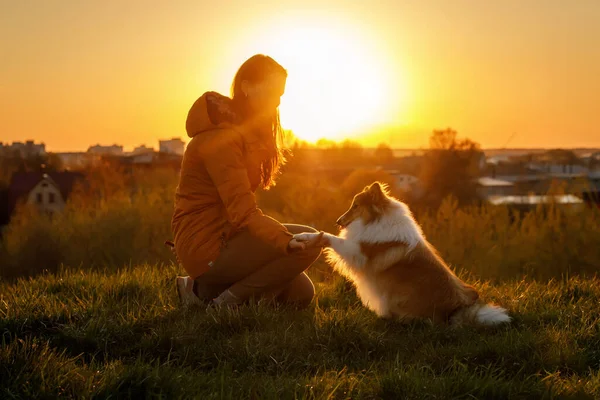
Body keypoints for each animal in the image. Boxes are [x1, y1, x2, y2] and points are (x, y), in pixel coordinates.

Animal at [292, 183, 508, 326]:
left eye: (356, 206)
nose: (338, 221)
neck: (378, 219)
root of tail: (456, 310)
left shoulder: (358, 254)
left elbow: (330, 238)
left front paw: (312, 237)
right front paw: (303, 236)